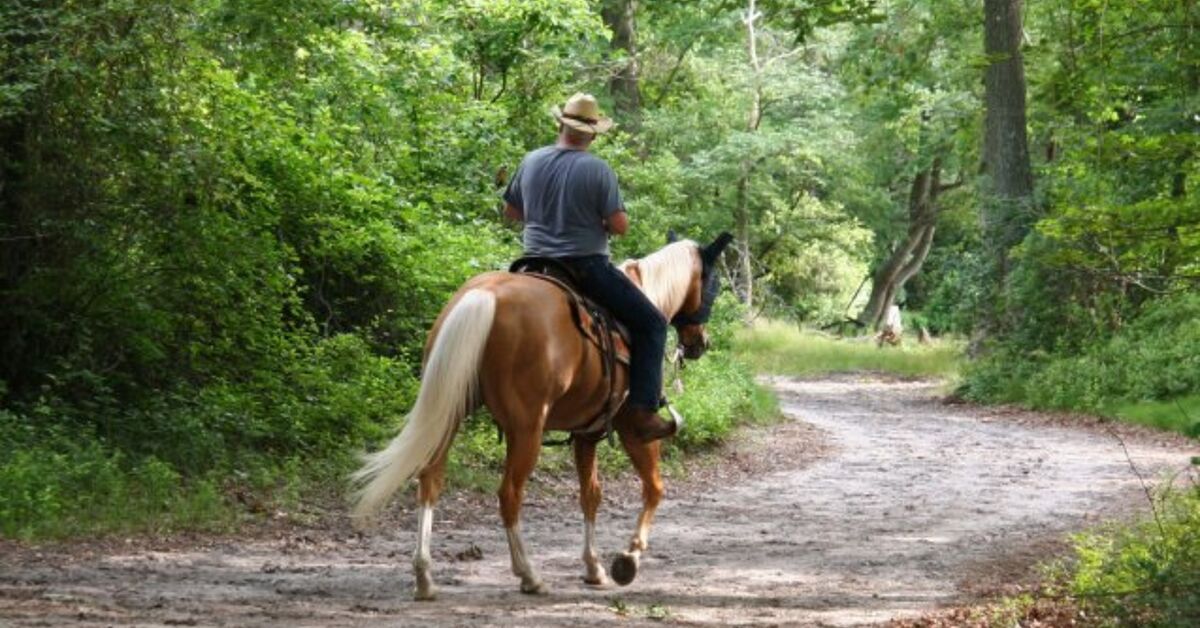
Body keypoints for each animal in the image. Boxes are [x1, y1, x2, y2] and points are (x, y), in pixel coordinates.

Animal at [351, 232, 733, 600]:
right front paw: (628, 558)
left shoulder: (586, 434)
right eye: (712, 284)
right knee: (509, 494)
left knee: (430, 480)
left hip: (450, 413)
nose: (700, 342)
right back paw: (529, 576)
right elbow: (654, 488)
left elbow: (591, 494)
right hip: (527, 429)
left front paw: (593, 567)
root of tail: (484, 295)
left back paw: (424, 577)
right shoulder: (632, 428)